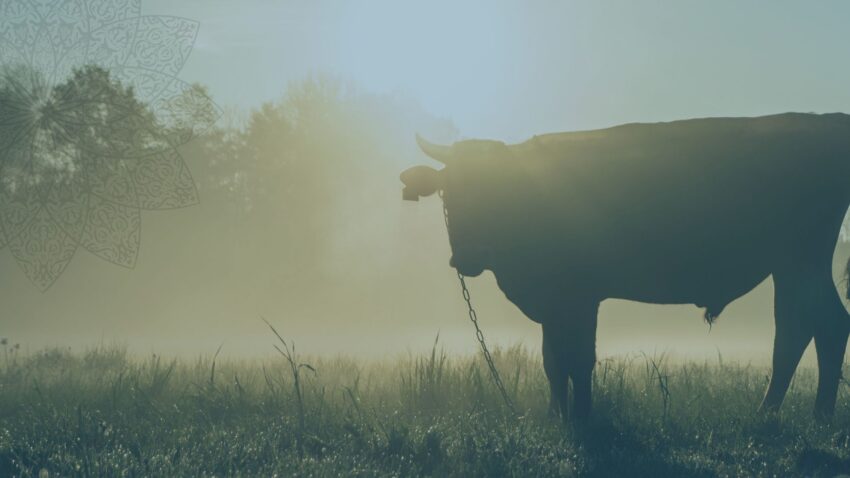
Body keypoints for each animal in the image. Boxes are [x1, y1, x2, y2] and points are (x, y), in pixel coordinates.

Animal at [400, 113, 848, 422]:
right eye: (448, 192)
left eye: (497, 189)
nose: (466, 257)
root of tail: (824, 122)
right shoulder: (554, 303)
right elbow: (552, 360)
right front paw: (556, 415)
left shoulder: (579, 297)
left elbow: (578, 358)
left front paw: (582, 417)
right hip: (795, 267)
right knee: (815, 326)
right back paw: (806, 413)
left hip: (799, 261)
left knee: (806, 329)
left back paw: (787, 414)